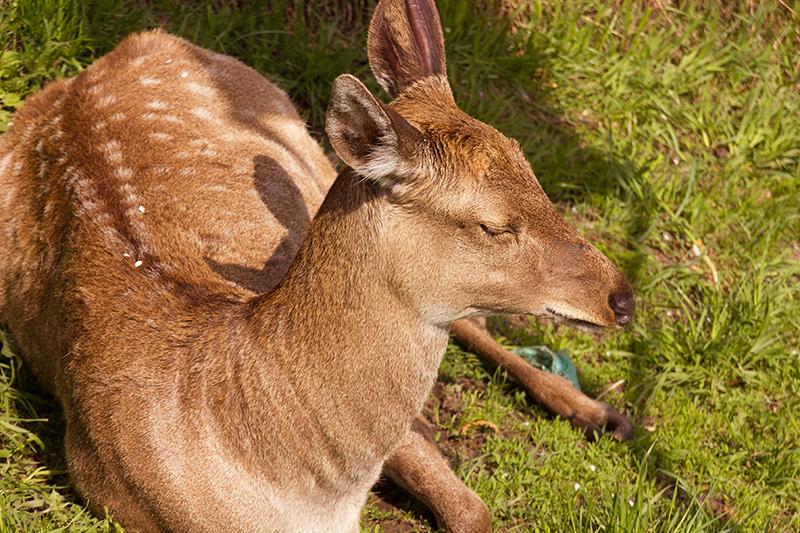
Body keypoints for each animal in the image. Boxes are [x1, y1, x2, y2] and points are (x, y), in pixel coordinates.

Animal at [0, 0, 636, 528]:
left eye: (536, 176)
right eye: (493, 225)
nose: (622, 297)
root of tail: (103, 59)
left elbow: (471, 508)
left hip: (310, 153)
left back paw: (601, 413)